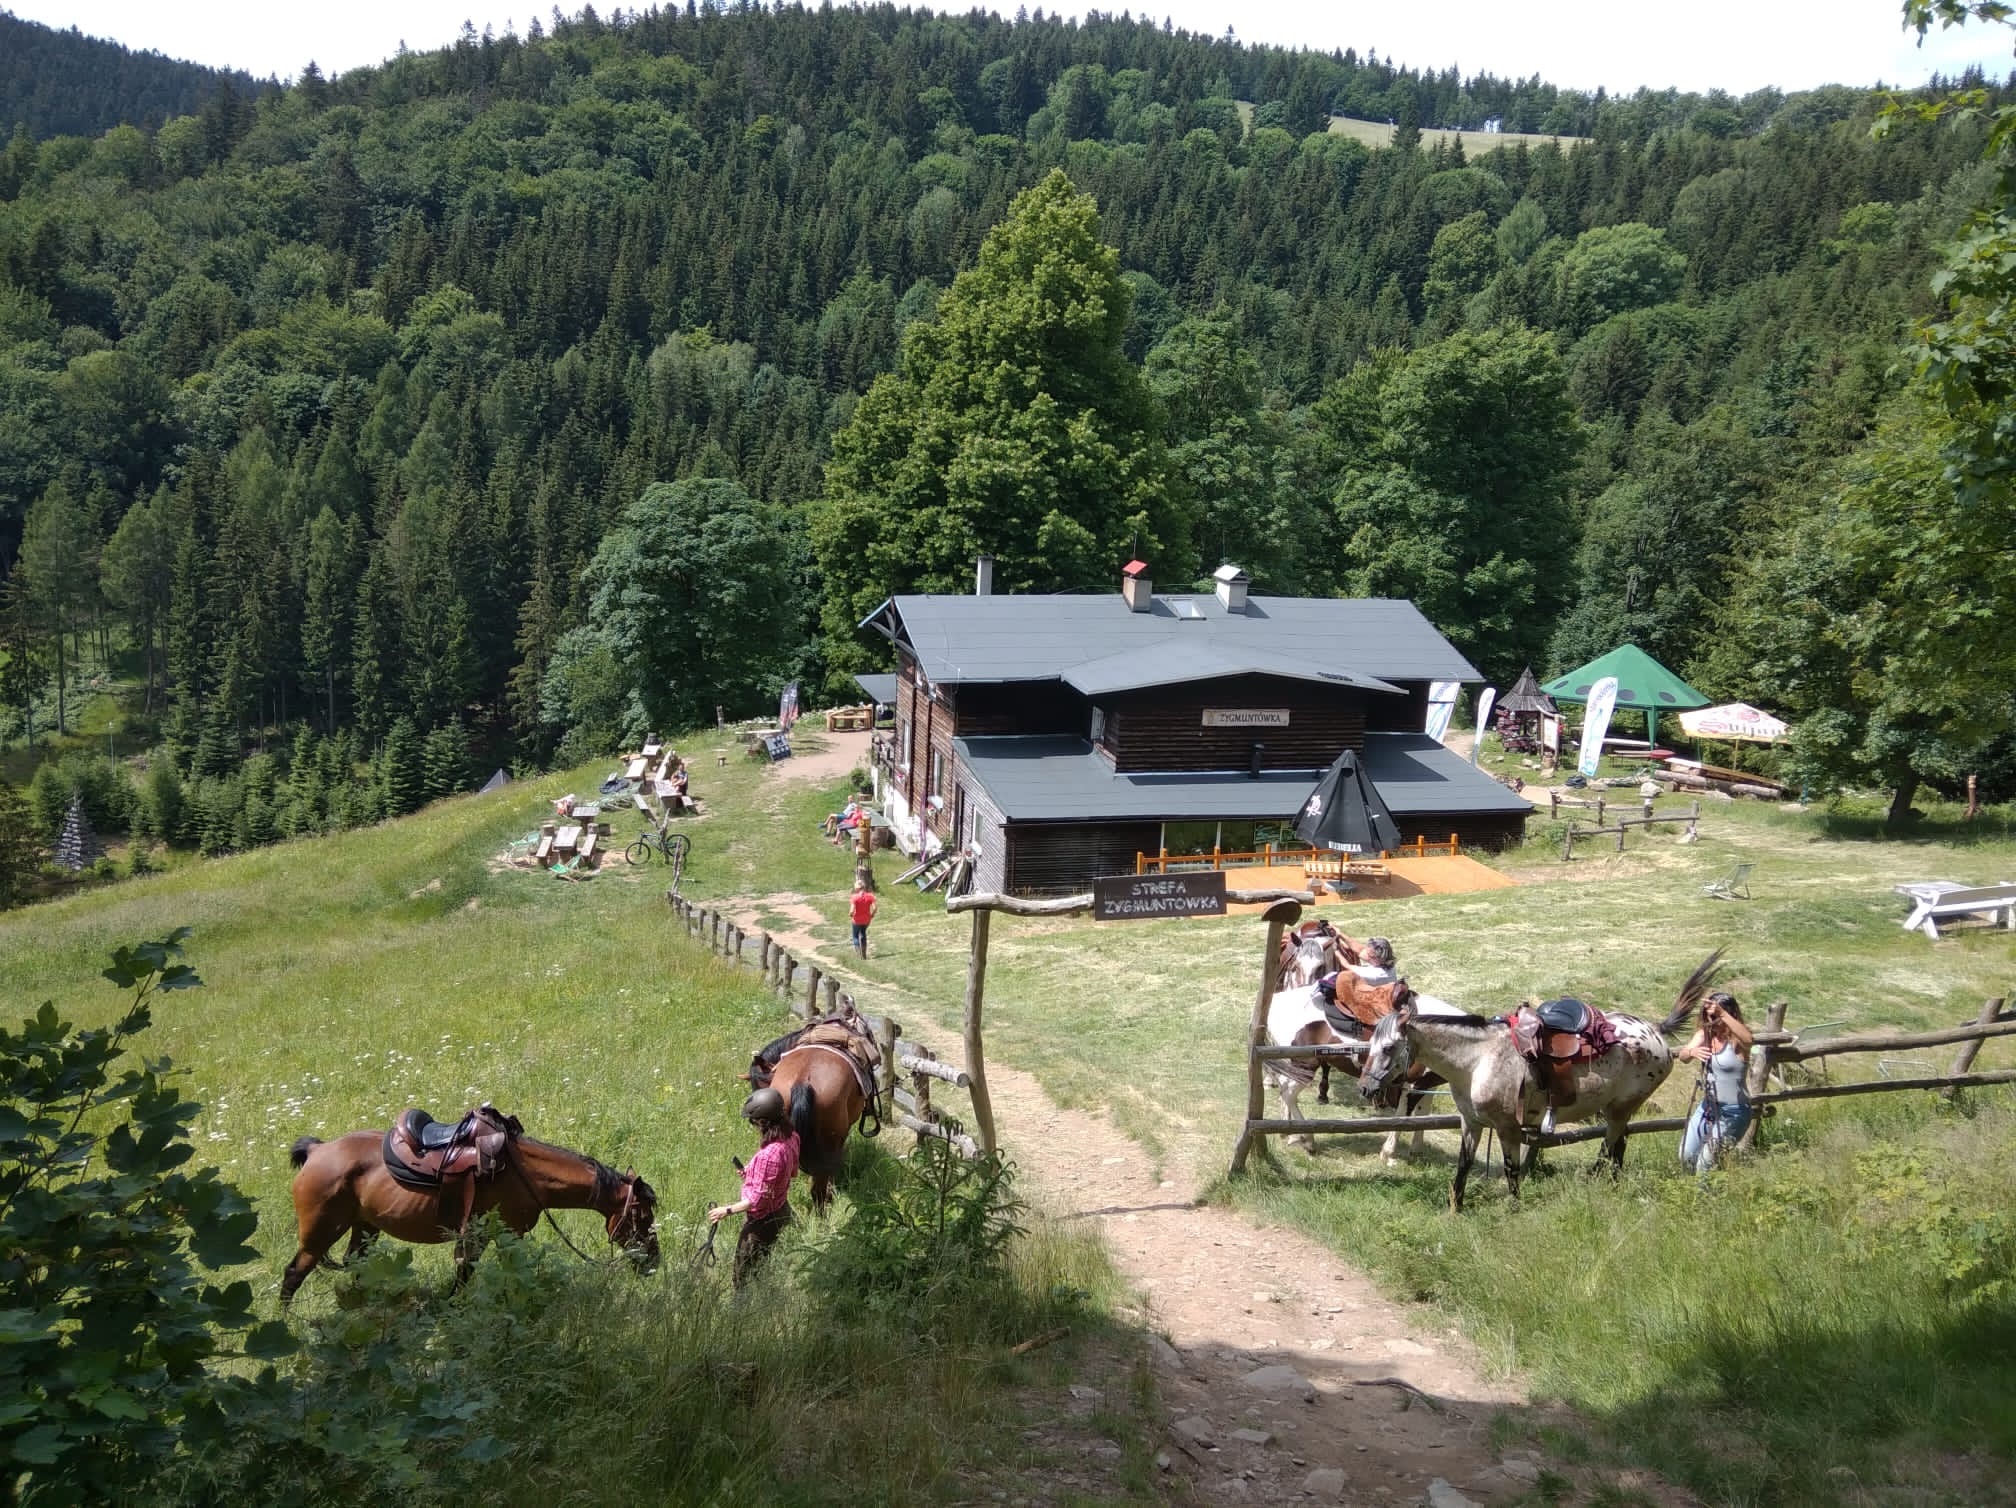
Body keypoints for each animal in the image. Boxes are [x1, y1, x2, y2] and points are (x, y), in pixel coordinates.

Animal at [282, 1126, 660, 1303]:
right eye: (641, 1216)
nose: (653, 1262)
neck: (526, 1173)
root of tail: (317, 1150)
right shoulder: (488, 1233)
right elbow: (468, 1275)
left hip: (365, 1228)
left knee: (358, 1267)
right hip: (320, 1233)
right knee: (293, 1274)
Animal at [1262, 976, 1455, 1163]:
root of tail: (1276, 1002)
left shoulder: (1427, 1084)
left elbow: (1423, 1113)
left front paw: (1416, 1150)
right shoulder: (1411, 1084)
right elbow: (1404, 1115)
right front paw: (1388, 1153)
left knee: (1284, 1090)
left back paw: (1291, 1134)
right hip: (1304, 1066)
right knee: (1288, 1093)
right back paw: (1308, 1140)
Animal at [1358, 951, 1724, 1212]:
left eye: (1389, 1047)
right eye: (1370, 1044)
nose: (1365, 1088)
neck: (1478, 1059)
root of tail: (1656, 1031)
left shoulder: (1507, 1127)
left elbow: (1511, 1169)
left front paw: (1514, 1208)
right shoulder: (1471, 1122)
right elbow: (1463, 1165)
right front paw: (1455, 1208)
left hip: (1621, 1108)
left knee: (1611, 1148)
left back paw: (1598, 1184)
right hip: (1615, 1110)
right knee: (1617, 1147)